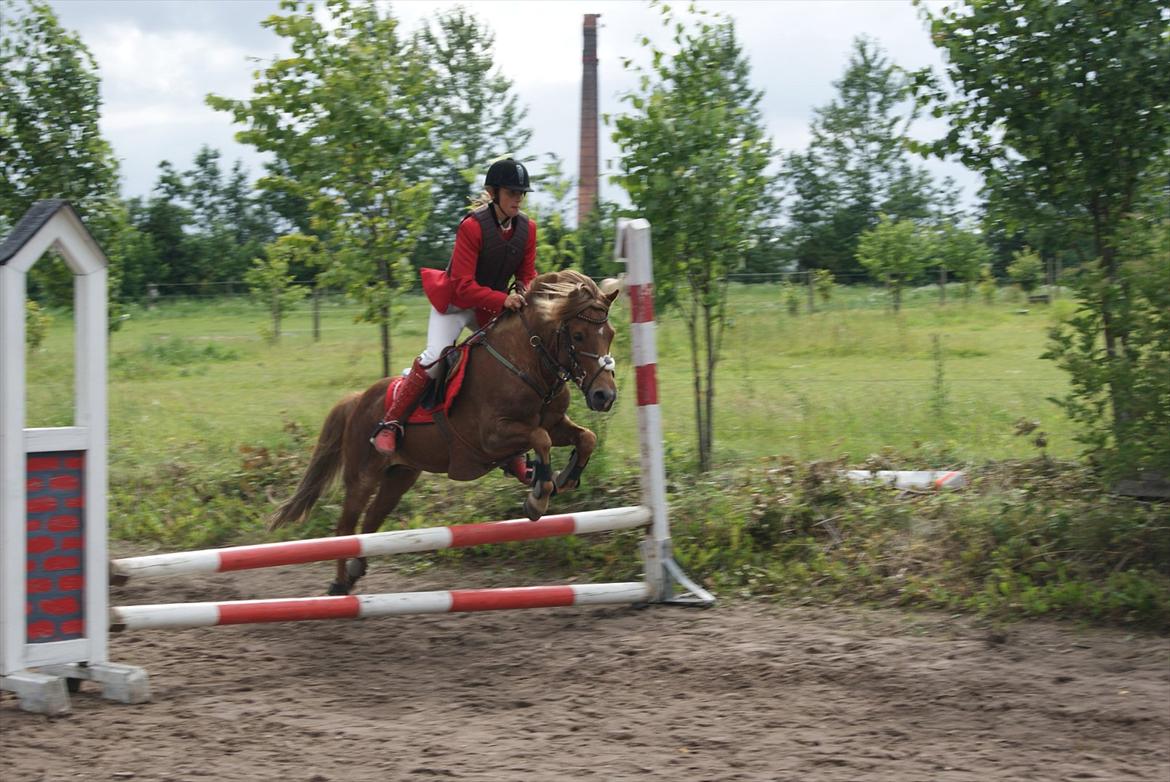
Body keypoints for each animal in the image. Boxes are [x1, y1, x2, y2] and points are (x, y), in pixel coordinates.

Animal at [267, 269, 622, 592]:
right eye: (578, 335)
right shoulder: (491, 437)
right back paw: (340, 584)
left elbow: (584, 437)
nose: (604, 396)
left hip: (400, 475)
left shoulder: (554, 422)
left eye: (611, 333)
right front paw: (539, 494)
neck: (526, 363)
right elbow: (541, 439)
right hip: (362, 476)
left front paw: (566, 476)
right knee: (346, 527)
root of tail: (357, 400)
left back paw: (355, 570)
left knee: (370, 522)